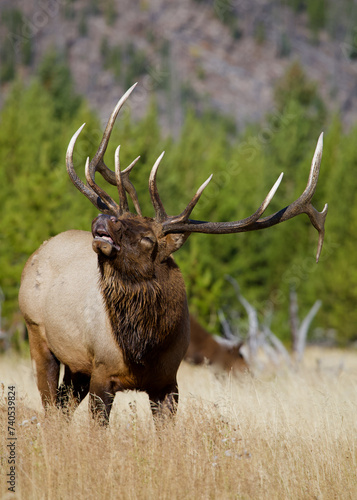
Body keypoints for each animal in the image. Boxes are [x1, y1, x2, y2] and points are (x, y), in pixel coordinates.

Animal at [18, 84, 326, 424]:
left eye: (148, 239)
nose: (104, 219)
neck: (144, 350)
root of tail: (39, 250)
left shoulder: (168, 382)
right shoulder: (102, 371)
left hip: (76, 366)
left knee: (62, 404)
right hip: (38, 333)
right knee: (50, 403)